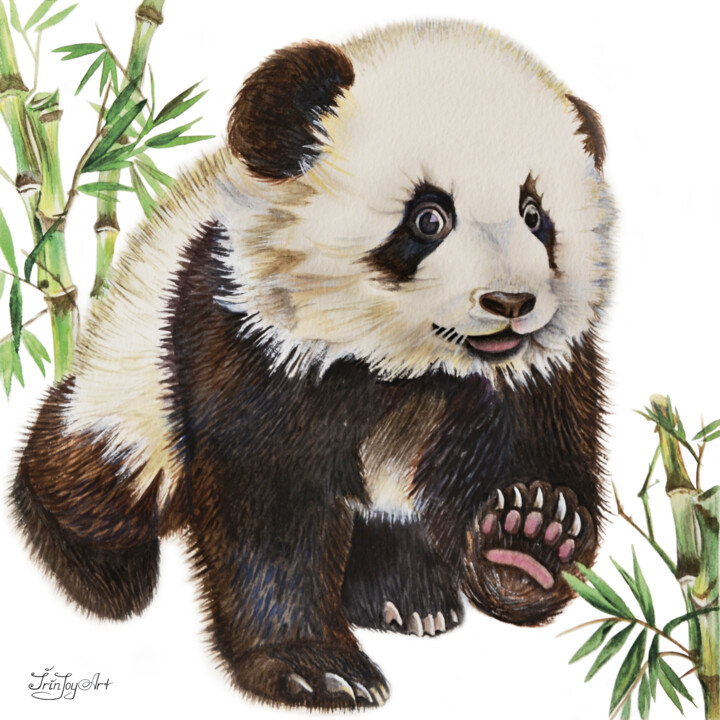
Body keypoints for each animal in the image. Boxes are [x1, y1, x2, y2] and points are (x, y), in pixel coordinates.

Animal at [11, 20, 614, 710]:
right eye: (429, 218)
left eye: (536, 216)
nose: (511, 303)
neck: (408, 366)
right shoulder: (247, 334)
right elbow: (271, 507)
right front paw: (316, 667)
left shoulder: (533, 376)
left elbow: (542, 448)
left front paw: (529, 535)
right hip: (132, 380)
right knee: (102, 475)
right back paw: (100, 567)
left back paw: (406, 596)